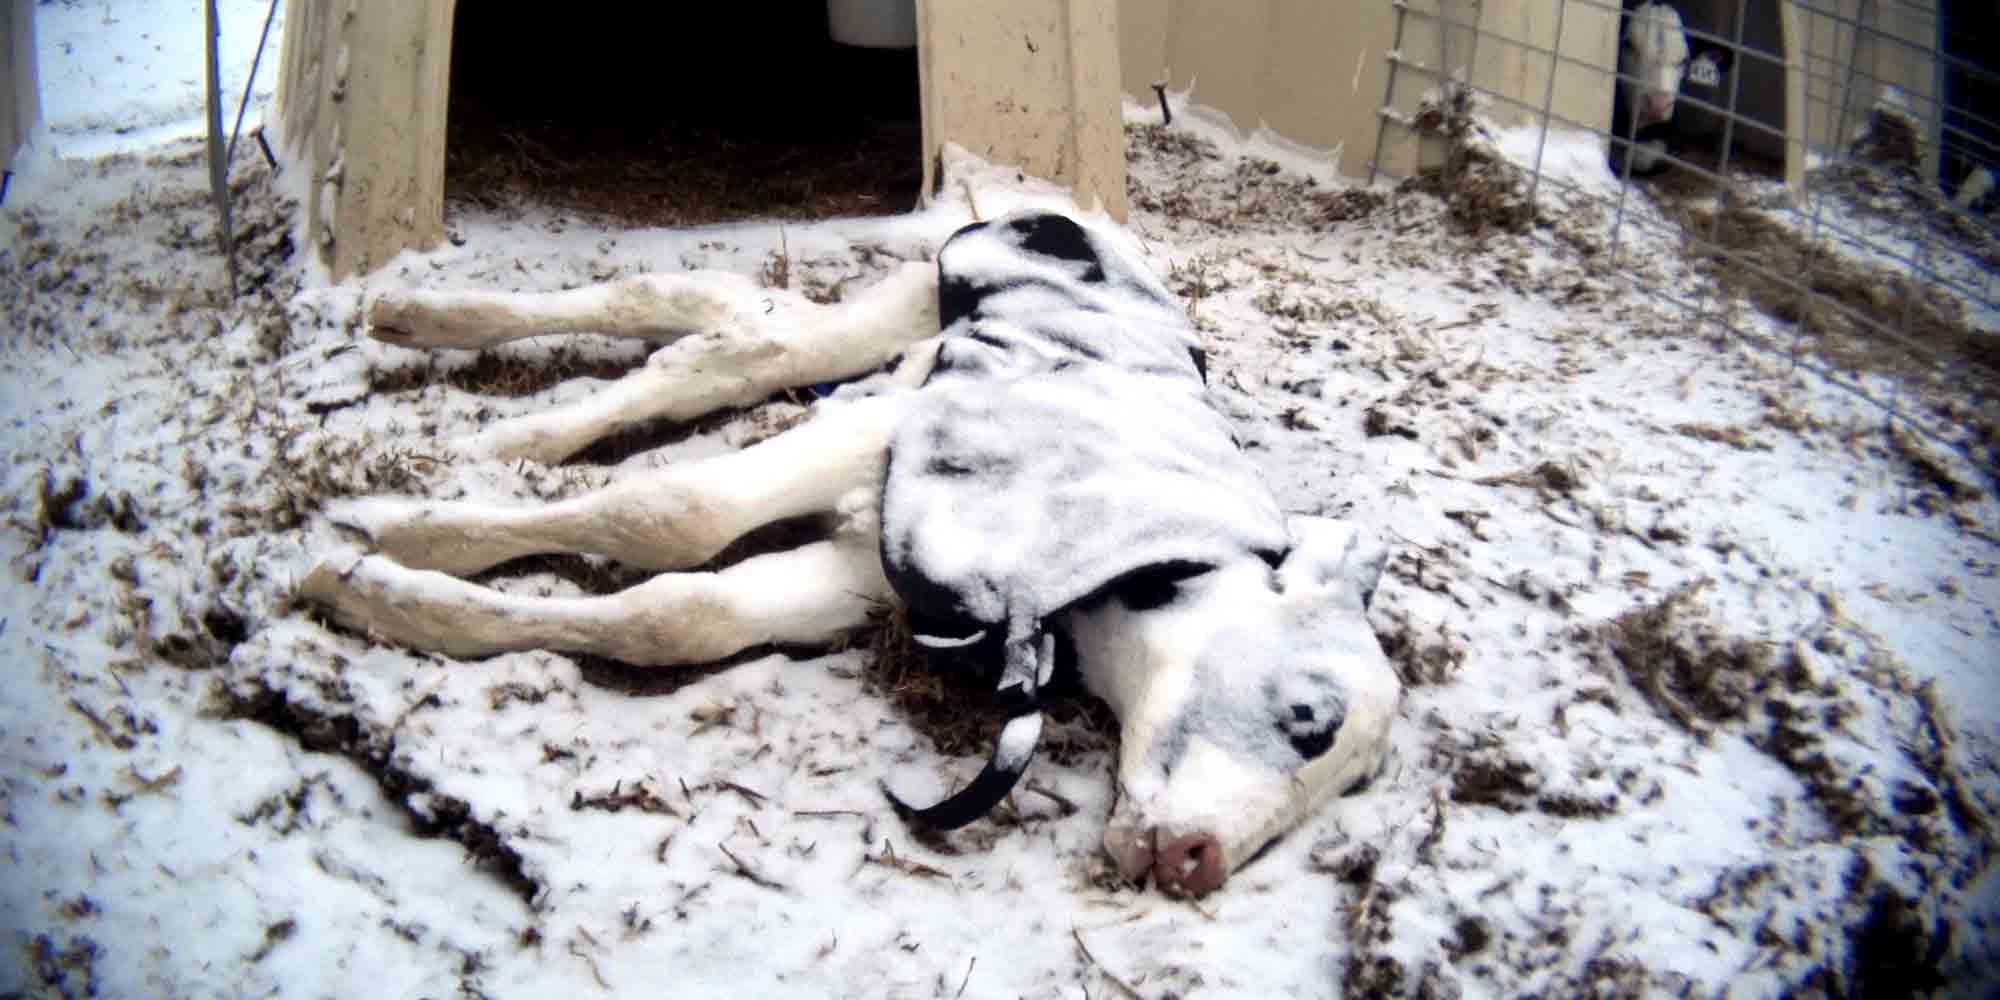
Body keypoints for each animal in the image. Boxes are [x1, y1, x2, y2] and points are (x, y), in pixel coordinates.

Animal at [308, 213, 1408, 900]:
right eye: (1308, 717)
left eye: (1346, 791)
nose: (1197, 861)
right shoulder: (893, 435)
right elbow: (675, 510)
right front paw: (387, 538)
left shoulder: (864, 574)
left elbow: (682, 615)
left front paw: (388, 595)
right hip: (907, 299)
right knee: (713, 336)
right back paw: (474, 407)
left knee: (719, 328)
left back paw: (449, 360)